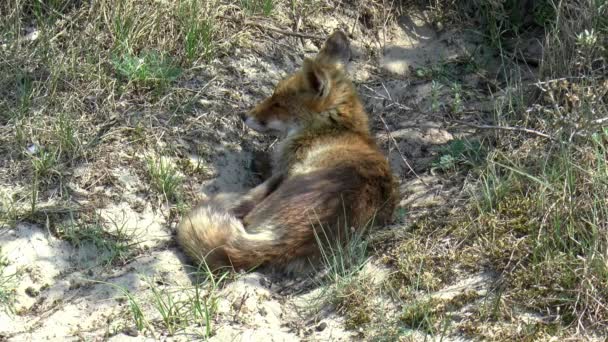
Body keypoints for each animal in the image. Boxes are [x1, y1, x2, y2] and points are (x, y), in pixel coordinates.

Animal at [175, 30, 400, 274]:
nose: (243, 115)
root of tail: (278, 243)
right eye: (273, 96)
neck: (333, 128)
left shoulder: (286, 164)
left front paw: (259, 160)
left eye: (278, 103)